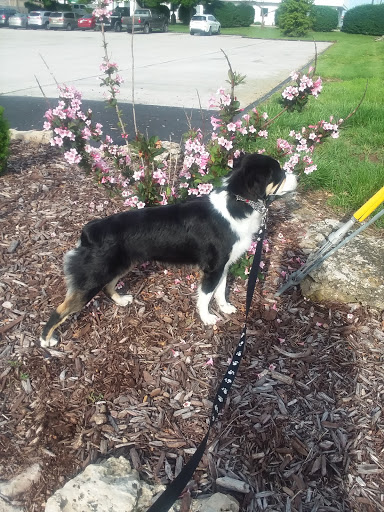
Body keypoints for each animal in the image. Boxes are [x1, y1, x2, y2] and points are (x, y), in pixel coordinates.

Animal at [39, 154, 296, 348]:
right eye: (280, 174)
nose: (298, 177)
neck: (239, 200)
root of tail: (89, 232)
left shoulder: (224, 264)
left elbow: (221, 291)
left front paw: (225, 308)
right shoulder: (213, 267)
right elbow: (206, 295)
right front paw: (207, 318)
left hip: (120, 265)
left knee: (109, 285)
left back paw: (120, 300)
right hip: (92, 278)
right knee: (59, 310)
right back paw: (46, 341)